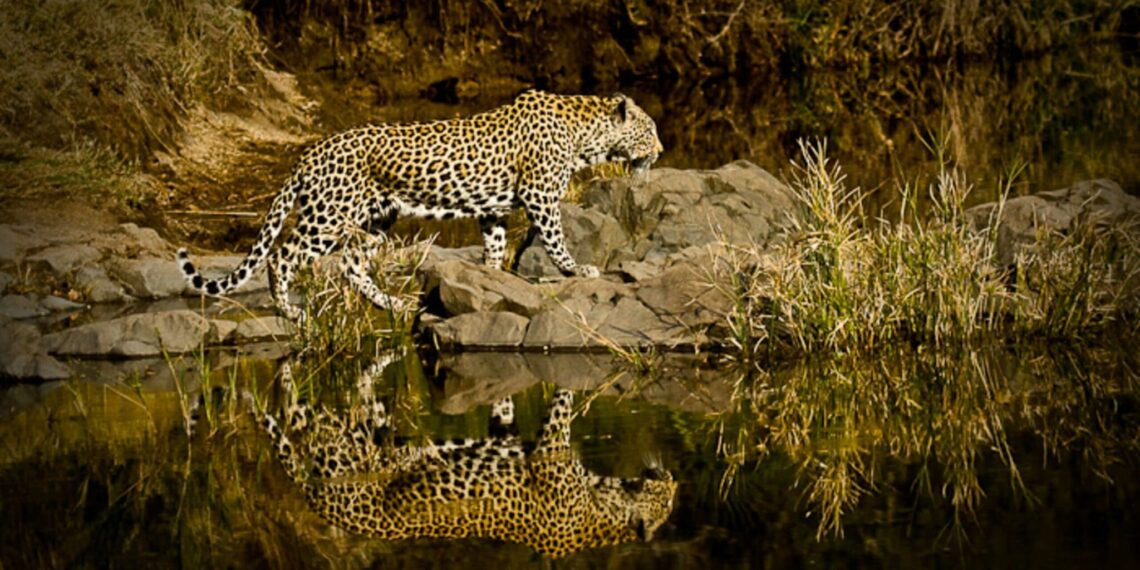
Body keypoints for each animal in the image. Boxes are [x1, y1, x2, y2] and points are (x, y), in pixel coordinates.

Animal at [176, 90, 663, 320]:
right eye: (651, 129)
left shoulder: (493, 209)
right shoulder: (541, 195)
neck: (588, 137)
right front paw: (577, 269)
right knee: (282, 256)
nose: (661, 150)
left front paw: (490, 282)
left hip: (375, 219)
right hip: (327, 216)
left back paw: (394, 305)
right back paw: (289, 310)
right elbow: (556, 238)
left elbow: (494, 246)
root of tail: (308, 153)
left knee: (352, 266)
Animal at [260, 359, 677, 557]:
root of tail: (317, 502)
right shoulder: (549, 450)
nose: (672, 478)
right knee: (298, 411)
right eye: (668, 502)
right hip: (343, 444)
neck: (605, 507)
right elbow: (563, 404)